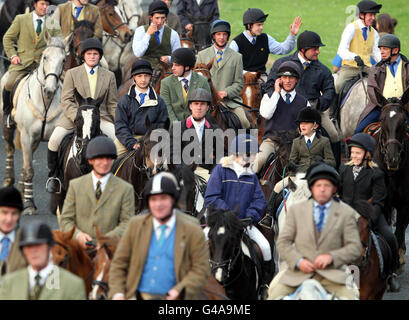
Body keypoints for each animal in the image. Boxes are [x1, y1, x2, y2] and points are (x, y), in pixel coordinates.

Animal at [0, 33, 68, 212]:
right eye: (45, 57)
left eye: (64, 60)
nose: (50, 89)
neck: (45, 100)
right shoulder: (26, 136)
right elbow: (29, 168)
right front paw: (29, 203)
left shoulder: (53, 136)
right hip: (8, 128)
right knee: (11, 151)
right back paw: (9, 181)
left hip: (36, 140)